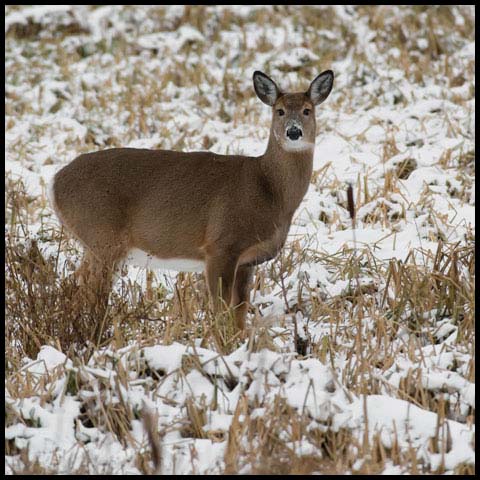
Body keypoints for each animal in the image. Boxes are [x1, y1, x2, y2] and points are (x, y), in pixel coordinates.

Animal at [49, 70, 334, 334]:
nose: (294, 132)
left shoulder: (248, 260)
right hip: (102, 236)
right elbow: (220, 311)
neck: (267, 189)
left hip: (95, 243)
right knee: (88, 291)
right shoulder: (220, 245)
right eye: (280, 111)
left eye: (307, 110)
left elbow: (239, 313)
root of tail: (55, 182)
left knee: (76, 284)